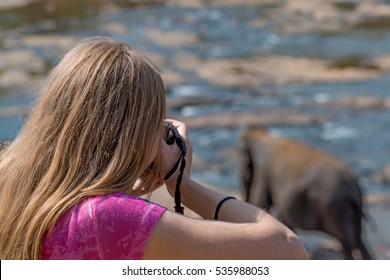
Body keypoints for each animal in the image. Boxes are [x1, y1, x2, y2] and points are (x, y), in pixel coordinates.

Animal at [238, 126, 372, 260]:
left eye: (241, 157)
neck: (262, 136)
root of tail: (354, 187)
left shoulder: (264, 170)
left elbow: (260, 202)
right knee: (357, 240)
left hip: (335, 207)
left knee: (346, 241)